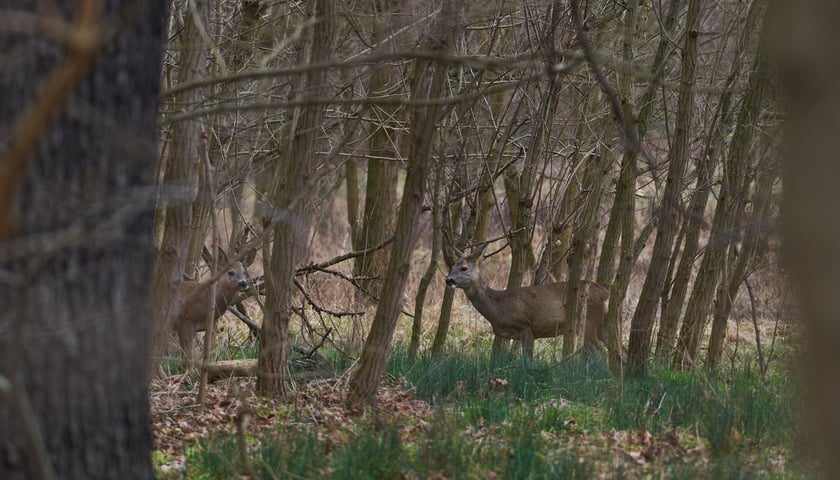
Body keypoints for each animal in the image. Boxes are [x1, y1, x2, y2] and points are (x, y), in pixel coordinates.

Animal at [442, 244, 608, 360]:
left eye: (464, 268)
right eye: (452, 266)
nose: (448, 280)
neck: (498, 305)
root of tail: (605, 293)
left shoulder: (526, 326)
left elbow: (527, 360)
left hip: (589, 320)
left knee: (600, 351)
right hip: (600, 326)